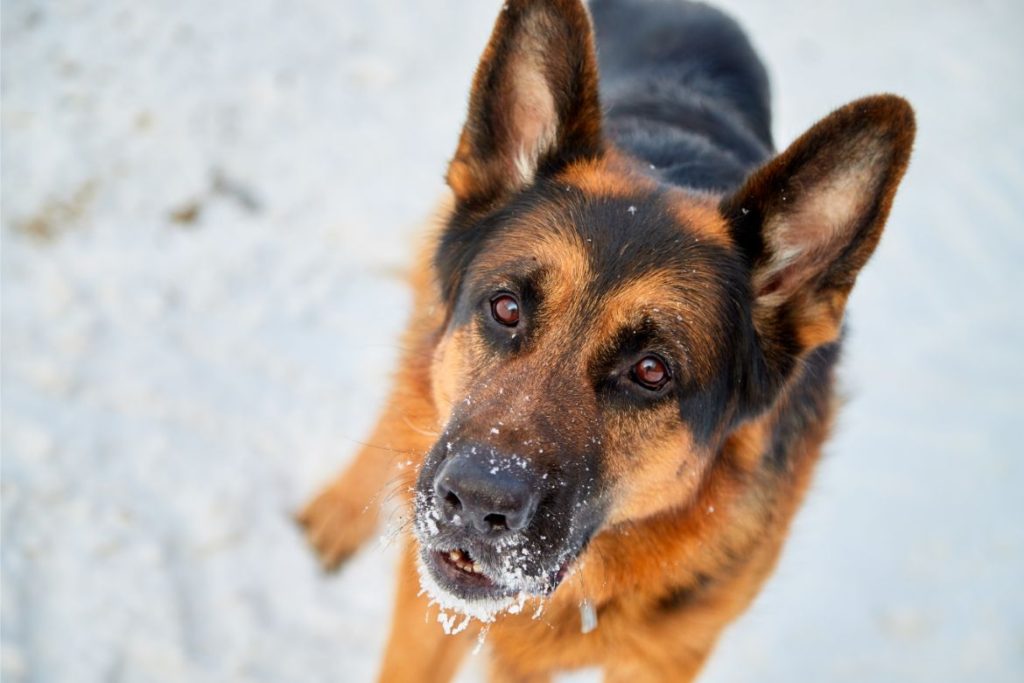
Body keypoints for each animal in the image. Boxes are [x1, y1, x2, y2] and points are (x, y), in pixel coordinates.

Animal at [299, 2, 917, 679]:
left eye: (651, 371)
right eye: (506, 308)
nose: (475, 501)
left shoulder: (666, 657)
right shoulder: (426, 614)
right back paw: (336, 514)